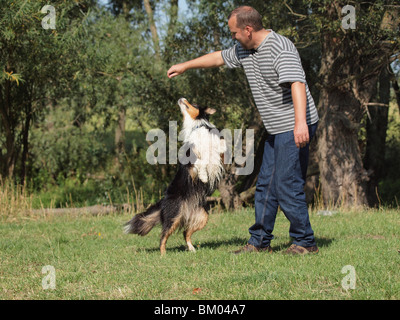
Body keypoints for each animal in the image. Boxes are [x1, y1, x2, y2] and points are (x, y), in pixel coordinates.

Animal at [123, 97, 227, 255]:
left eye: (194, 103)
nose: (181, 98)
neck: (196, 126)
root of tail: (163, 201)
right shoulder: (191, 158)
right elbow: (201, 162)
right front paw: (203, 176)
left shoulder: (217, 151)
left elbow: (221, 147)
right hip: (174, 216)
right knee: (163, 237)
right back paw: (163, 254)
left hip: (202, 217)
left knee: (185, 232)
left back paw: (191, 249)